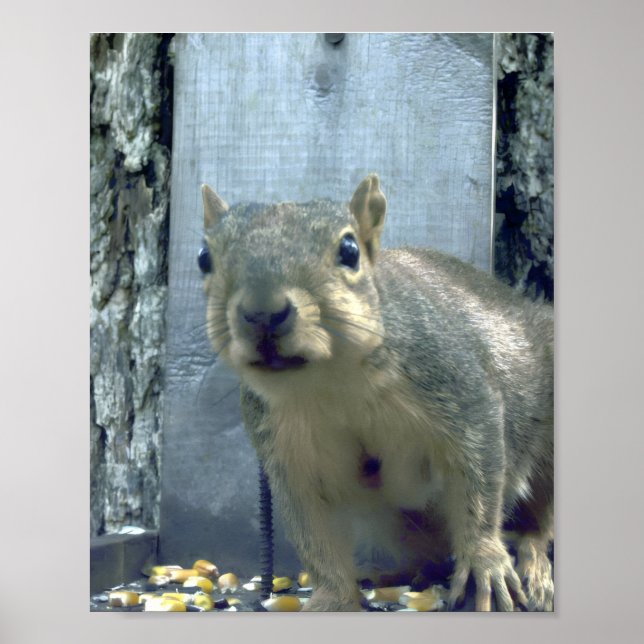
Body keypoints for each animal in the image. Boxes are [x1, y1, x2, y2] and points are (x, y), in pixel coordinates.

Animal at [199, 174, 554, 612]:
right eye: (204, 258)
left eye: (349, 251)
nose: (263, 313)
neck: (333, 381)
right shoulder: (287, 452)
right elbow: (314, 534)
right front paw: (332, 599)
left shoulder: (459, 390)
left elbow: (480, 481)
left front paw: (484, 561)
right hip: (394, 522)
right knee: (431, 558)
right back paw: (390, 574)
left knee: (538, 521)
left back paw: (533, 566)